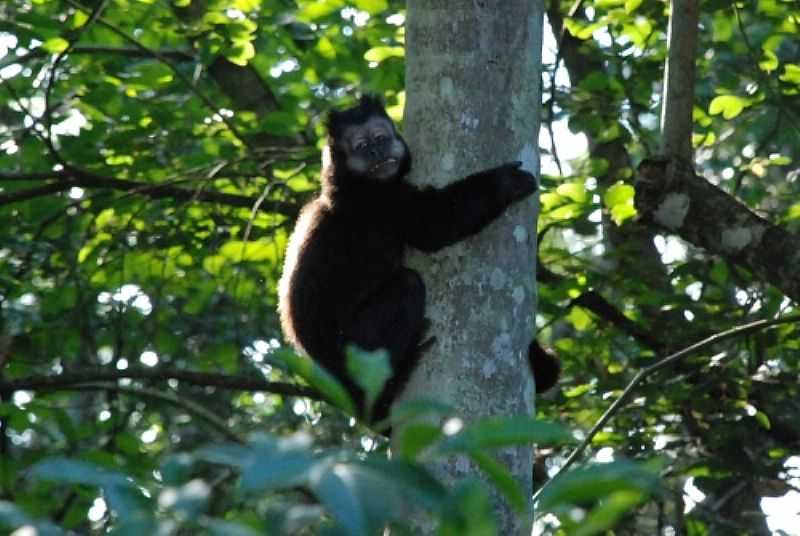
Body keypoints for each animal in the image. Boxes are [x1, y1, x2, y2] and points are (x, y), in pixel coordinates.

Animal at [278, 96, 560, 422]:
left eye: (381, 138)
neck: (351, 185)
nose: (377, 152)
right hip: (352, 350)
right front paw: (504, 183)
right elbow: (433, 225)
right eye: (362, 146)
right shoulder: (386, 202)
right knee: (407, 285)